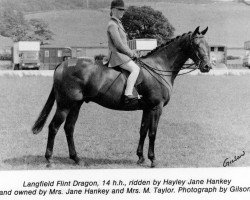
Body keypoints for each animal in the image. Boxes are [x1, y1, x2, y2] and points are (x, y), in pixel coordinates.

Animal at [31, 26, 211, 167]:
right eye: (196, 44)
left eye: (208, 45)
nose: (207, 66)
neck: (159, 67)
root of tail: (62, 64)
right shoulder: (156, 107)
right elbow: (153, 132)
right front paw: (152, 160)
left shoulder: (147, 108)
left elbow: (143, 130)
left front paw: (140, 158)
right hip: (65, 105)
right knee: (54, 127)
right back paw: (49, 159)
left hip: (76, 104)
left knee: (69, 128)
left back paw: (76, 158)